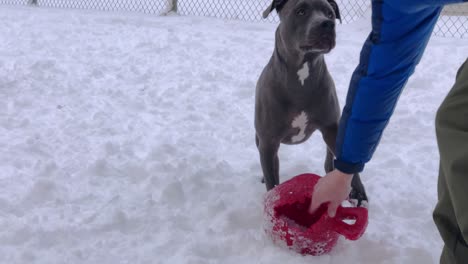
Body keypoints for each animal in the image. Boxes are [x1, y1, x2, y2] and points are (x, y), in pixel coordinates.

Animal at [254, 0, 368, 205]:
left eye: (330, 14)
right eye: (301, 11)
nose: (327, 24)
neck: (302, 76)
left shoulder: (332, 127)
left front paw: (357, 191)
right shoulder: (268, 141)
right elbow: (272, 180)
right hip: (261, 140)